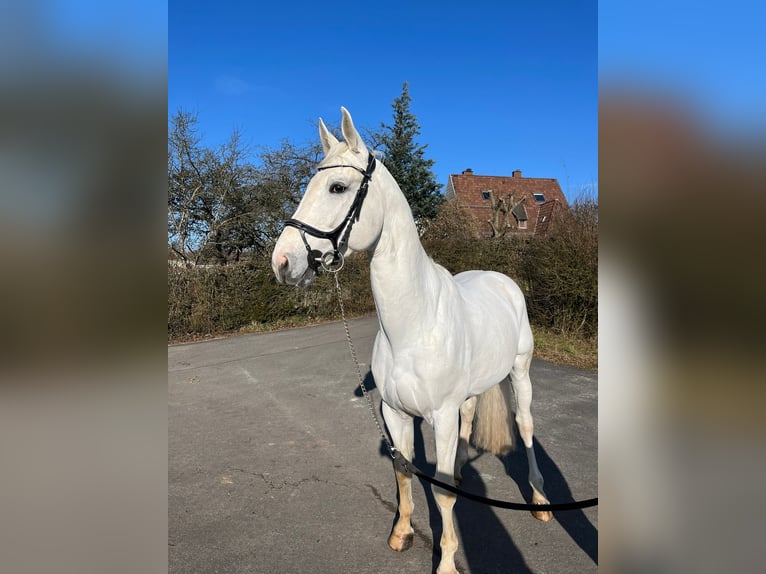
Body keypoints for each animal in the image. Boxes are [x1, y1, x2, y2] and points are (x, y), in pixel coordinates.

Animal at [272, 108, 548, 574]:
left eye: (337, 187)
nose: (282, 262)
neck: (414, 327)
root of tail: (501, 279)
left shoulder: (441, 416)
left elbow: (442, 492)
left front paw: (447, 561)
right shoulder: (395, 414)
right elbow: (404, 472)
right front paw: (401, 533)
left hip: (520, 371)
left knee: (526, 426)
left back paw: (541, 500)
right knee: (470, 419)